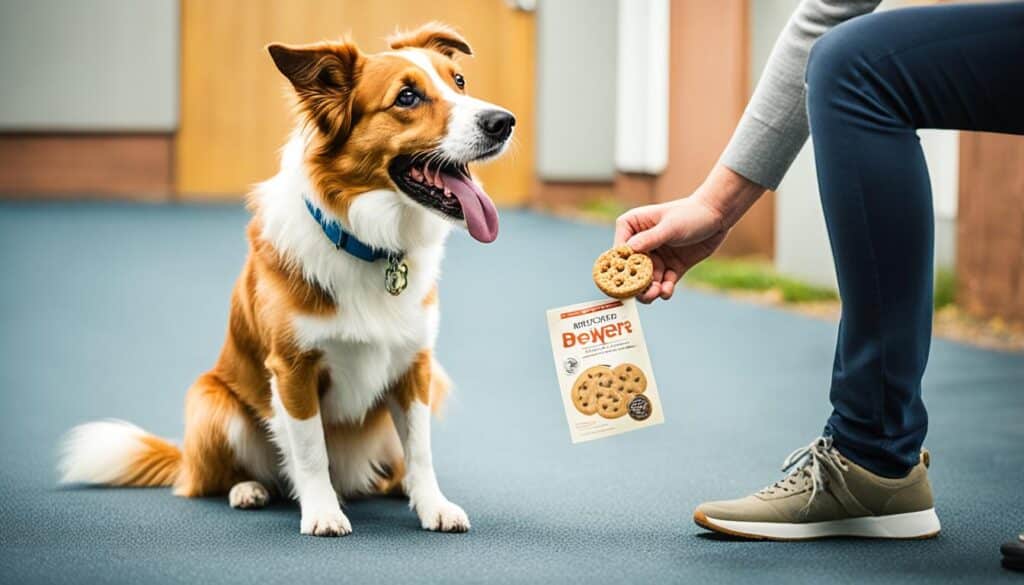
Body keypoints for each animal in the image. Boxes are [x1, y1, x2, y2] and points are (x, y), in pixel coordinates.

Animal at [56, 21, 512, 536]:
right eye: (407, 97)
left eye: (459, 82)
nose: (503, 121)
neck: (364, 241)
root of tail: (184, 459)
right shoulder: (293, 369)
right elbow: (311, 451)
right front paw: (322, 512)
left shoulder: (415, 365)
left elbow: (420, 450)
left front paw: (433, 505)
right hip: (212, 402)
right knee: (212, 481)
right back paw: (248, 489)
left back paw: (395, 487)